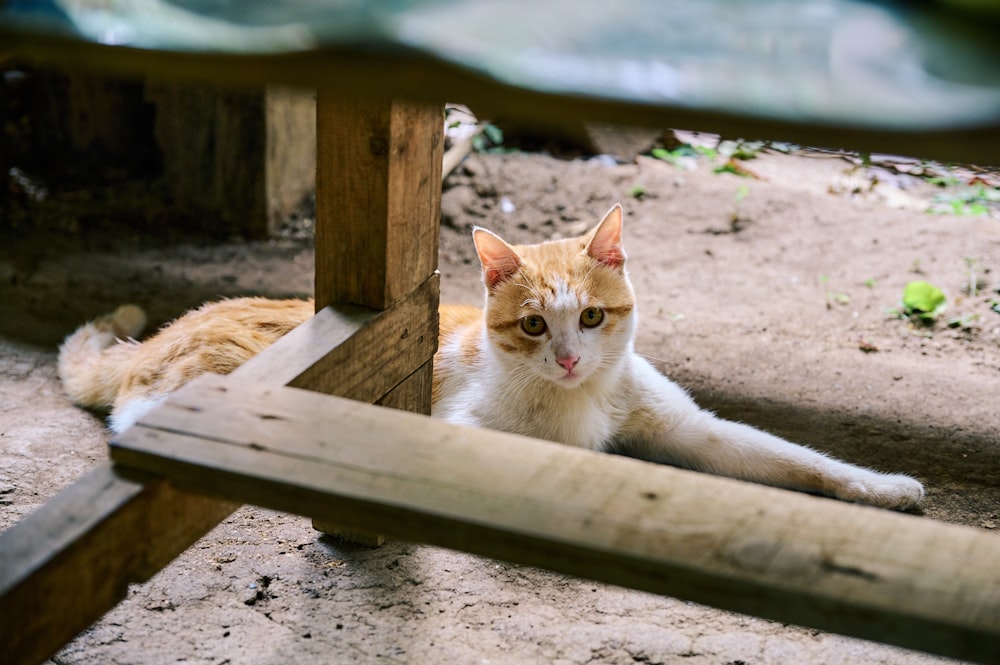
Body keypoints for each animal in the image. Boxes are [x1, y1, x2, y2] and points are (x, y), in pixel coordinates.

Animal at [60, 205, 920, 510]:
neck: (582, 401)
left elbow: (792, 456)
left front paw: (882, 486)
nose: (569, 360)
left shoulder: (688, 426)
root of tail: (165, 335)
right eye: (535, 326)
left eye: (592, 317)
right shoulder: (458, 430)